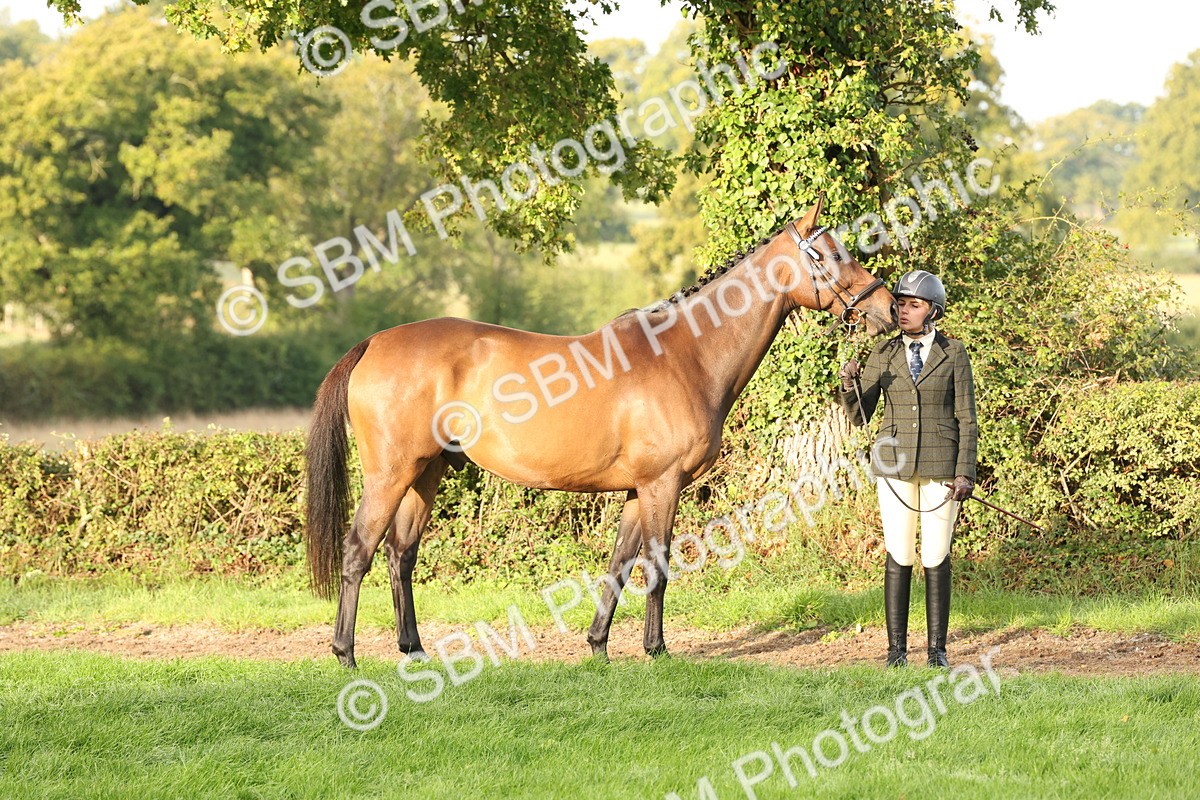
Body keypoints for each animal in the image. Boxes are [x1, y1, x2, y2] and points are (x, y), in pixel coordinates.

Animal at [304, 197, 898, 668]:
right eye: (831, 254)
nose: (887, 307)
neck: (686, 354)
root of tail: (375, 342)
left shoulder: (638, 490)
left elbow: (619, 565)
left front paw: (598, 645)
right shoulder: (662, 485)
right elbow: (657, 565)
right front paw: (656, 650)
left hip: (425, 475)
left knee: (400, 556)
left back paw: (414, 650)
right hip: (391, 474)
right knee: (358, 551)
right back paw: (345, 654)